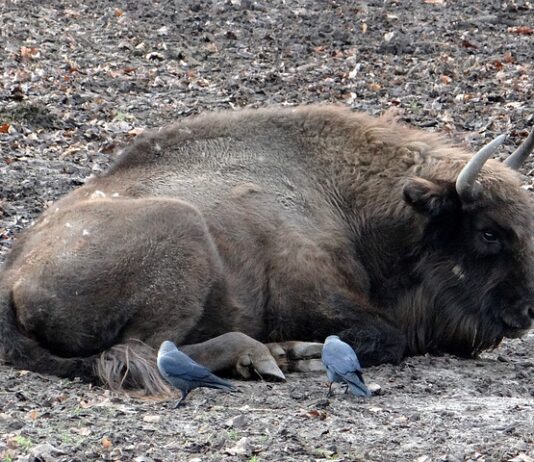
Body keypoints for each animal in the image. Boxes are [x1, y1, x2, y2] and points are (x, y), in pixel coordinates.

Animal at [1, 105, 534, 394]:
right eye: (489, 232)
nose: (527, 311)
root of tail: (11, 277)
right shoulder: (316, 298)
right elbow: (388, 338)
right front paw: (304, 354)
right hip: (183, 230)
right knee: (146, 351)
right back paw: (265, 355)